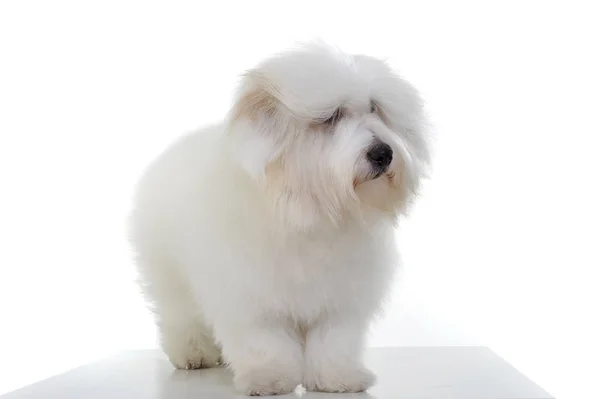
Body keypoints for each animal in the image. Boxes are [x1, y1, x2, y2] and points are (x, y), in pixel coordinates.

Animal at [131, 42, 432, 396]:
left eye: (374, 108)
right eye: (331, 117)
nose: (383, 153)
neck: (307, 211)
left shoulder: (340, 297)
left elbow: (333, 340)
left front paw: (339, 377)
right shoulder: (250, 296)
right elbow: (265, 342)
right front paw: (268, 378)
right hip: (170, 277)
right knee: (181, 318)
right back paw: (194, 355)